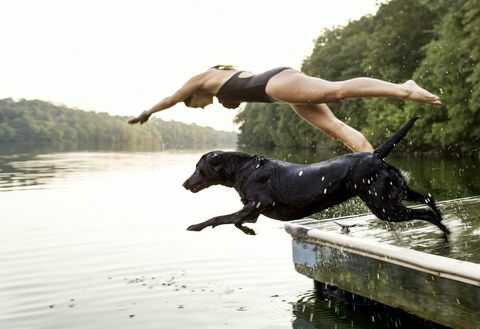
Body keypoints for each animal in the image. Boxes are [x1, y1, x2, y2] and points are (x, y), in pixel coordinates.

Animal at [184, 118, 450, 238]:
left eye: (198, 168)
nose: (185, 183)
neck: (245, 169)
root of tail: (375, 155)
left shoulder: (257, 204)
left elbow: (220, 218)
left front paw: (196, 225)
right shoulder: (253, 210)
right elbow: (237, 221)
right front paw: (249, 231)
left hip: (384, 205)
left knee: (424, 212)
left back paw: (444, 232)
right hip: (395, 192)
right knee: (428, 198)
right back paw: (442, 220)